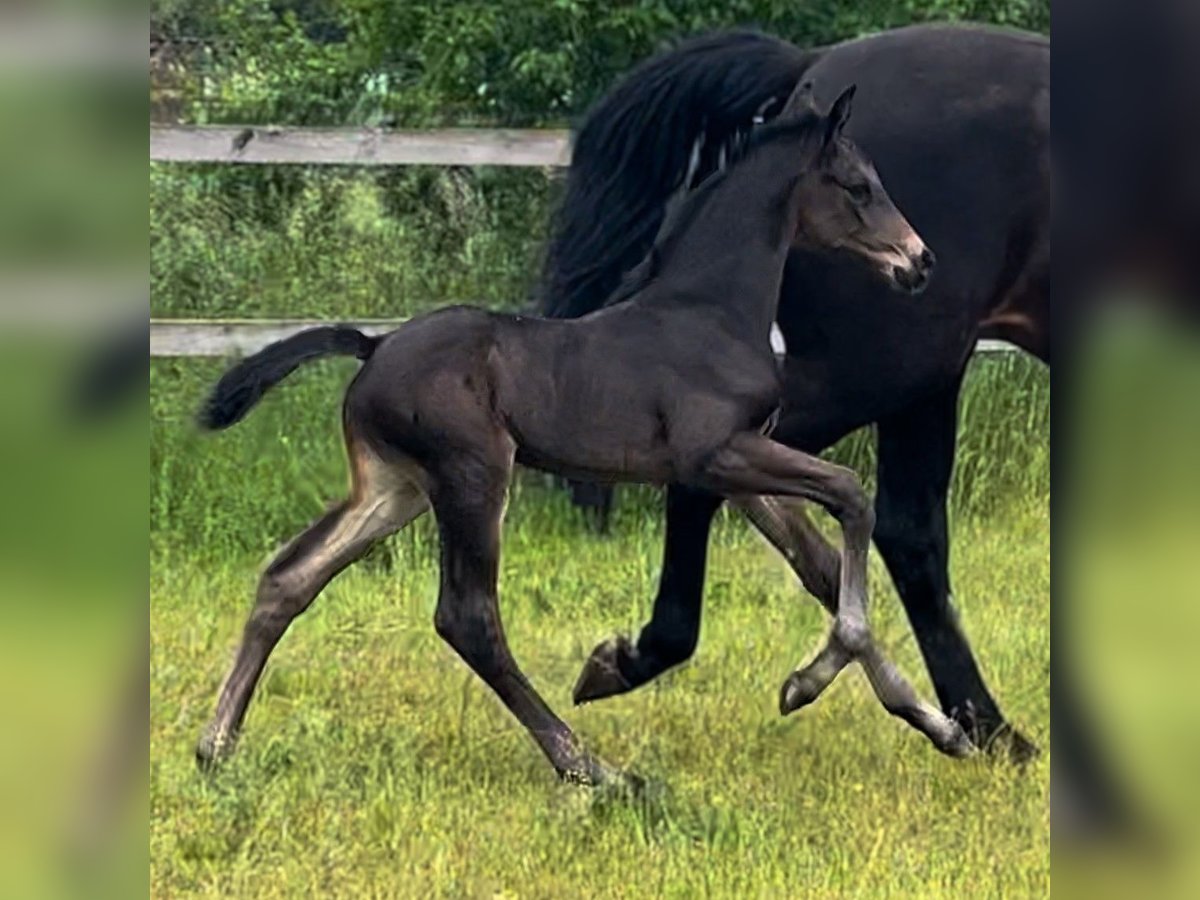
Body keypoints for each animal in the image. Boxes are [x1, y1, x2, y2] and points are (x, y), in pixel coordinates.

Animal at [194, 84, 964, 787]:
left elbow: (822, 568)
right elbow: (852, 497)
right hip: (474, 476)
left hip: (394, 489)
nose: (921, 261)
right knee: (467, 618)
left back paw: (214, 747)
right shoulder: (715, 456)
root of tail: (373, 346)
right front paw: (807, 684)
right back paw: (590, 766)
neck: (710, 313)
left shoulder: (740, 470)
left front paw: (939, 726)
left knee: (290, 578)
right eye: (859, 187)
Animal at [540, 24, 1046, 763]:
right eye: (858, 187)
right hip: (894, 367)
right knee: (876, 522)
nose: (919, 260)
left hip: (911, 378)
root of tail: (812, 63)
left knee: (876, 528)